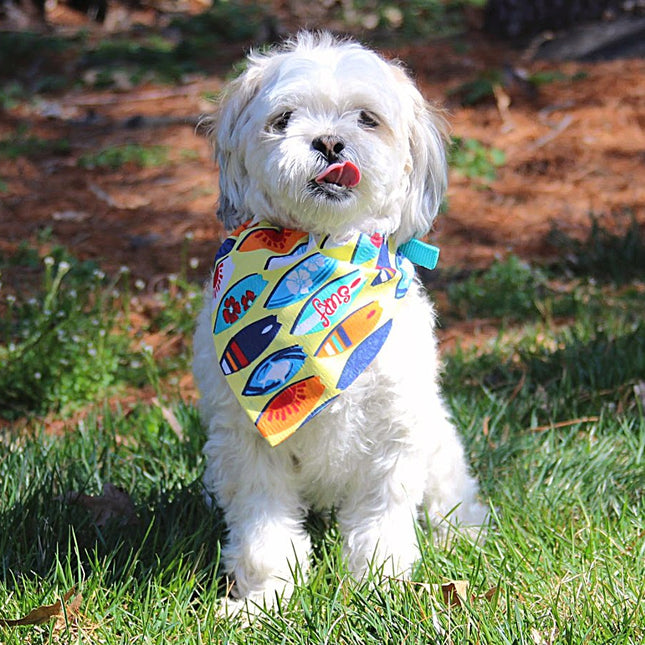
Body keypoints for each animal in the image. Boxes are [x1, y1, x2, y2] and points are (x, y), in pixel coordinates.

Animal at [194, 31, 486, 608]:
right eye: (283, 118)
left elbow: (381, 519)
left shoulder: (394, 430)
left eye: (367, 119)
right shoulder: (247, 443)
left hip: (437, 438)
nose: (329, 143)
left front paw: (380, 584)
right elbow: (264, 532)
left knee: (451, 492)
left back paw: (461, 531)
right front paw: (263, 599)